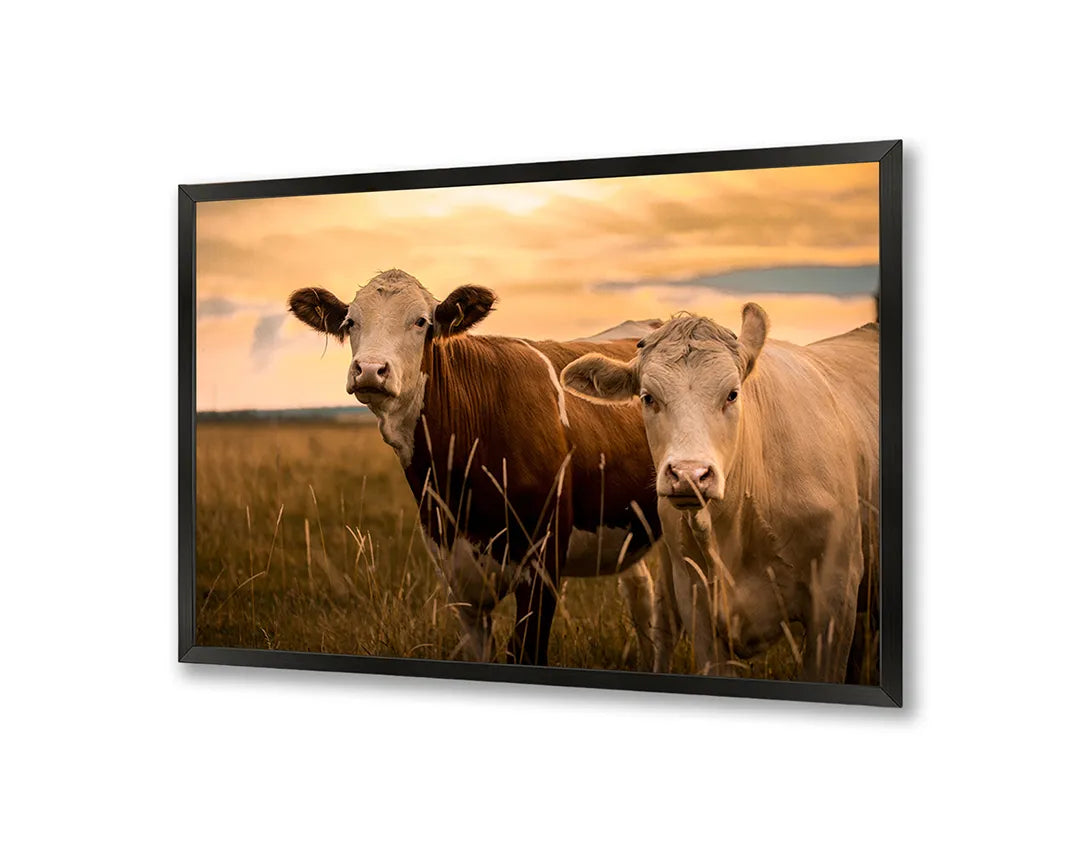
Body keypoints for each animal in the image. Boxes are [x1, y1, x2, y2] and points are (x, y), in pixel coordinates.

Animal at [287, 269, 677, 668]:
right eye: (351, 322)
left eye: (421, 321)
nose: (369, 370)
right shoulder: (455, 572)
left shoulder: (543, 563)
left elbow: (525, 651)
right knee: (641, 596)